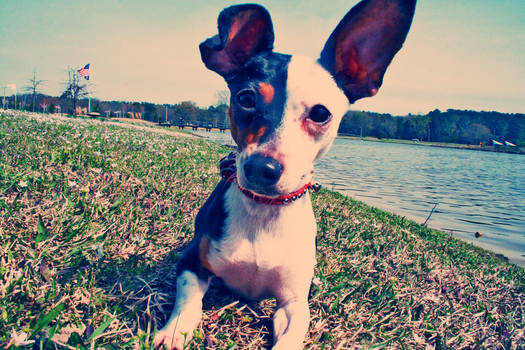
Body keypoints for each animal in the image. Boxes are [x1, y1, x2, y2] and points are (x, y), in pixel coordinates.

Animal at [154, 1, 416, 348]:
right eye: (246, 98)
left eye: (320, 113)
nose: (261, 167)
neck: (263, 212)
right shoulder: (192, 264)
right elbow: (188, 301)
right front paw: (174, 331)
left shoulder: (293, 303)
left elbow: (291, 332)